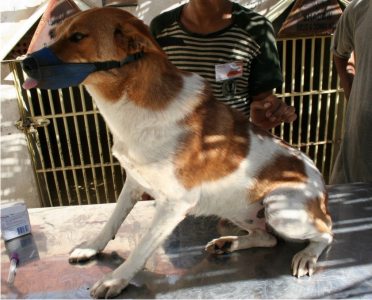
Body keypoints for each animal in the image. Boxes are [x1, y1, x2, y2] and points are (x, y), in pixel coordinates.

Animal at [21, 8, 332, 298]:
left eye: (78, 37)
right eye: (55, 33)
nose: (24, 63)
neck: (131, 108)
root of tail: (321, 188)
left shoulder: (174, 203)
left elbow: (142, 247)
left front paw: (116, 279)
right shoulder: (134, 182)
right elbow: (112, 219)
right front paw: (91, 247)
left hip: (280, 209)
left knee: (326, 233)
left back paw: (306, 255)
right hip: (235, 207)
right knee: (267, 238)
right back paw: (229, 242)